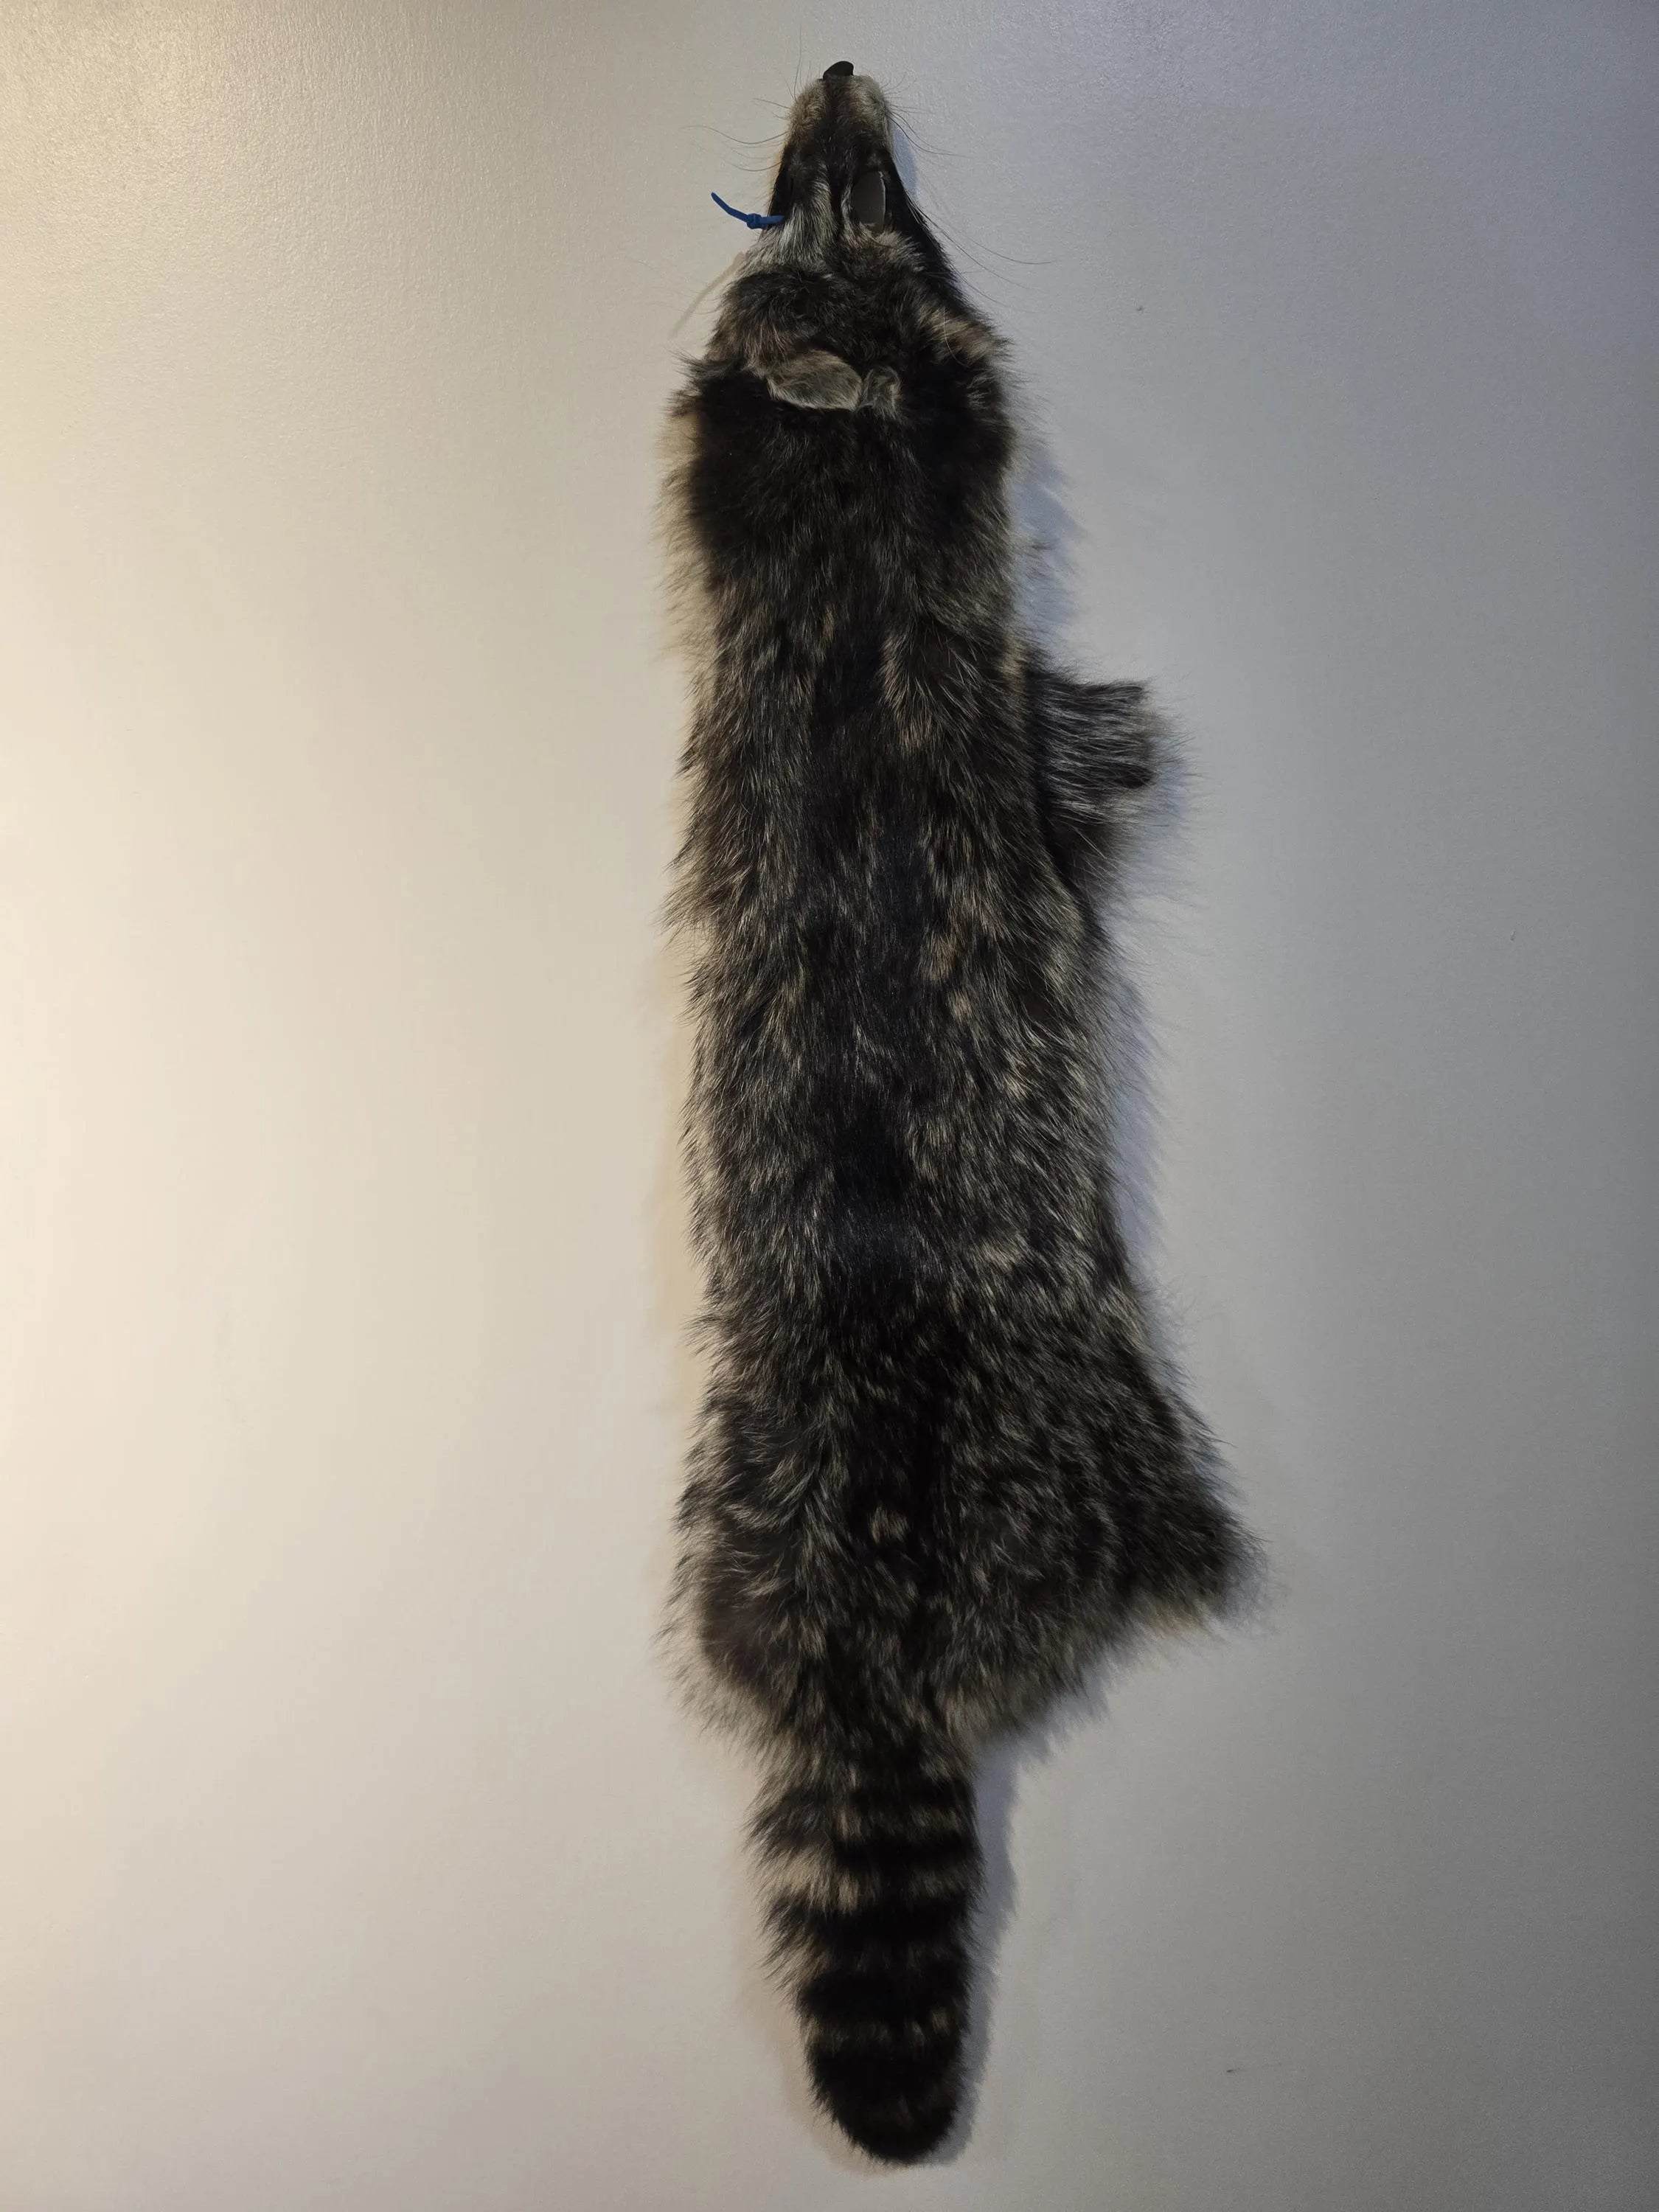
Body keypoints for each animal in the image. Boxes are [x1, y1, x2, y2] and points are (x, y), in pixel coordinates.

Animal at [662, 64, 1249, 2166]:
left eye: (865, 195)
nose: (842, 75)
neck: (845, 512)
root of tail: (877, 1638)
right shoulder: (963, 633)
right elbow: (1068, 745)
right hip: (1092, 1438)